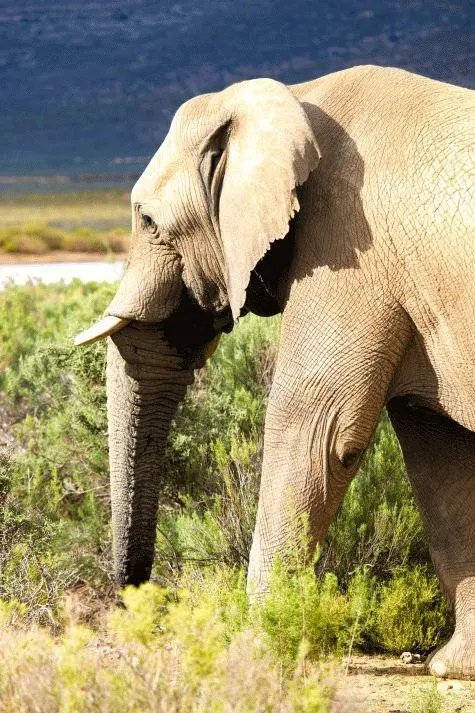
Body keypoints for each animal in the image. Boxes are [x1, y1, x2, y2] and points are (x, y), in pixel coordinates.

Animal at [75, 65, 474, 680]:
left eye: (147, 220)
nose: (137, 601)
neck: (298, 100)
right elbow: (442, 457)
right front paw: (453, 668)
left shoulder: (348, 244)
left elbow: (318, 429)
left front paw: (259, 646)